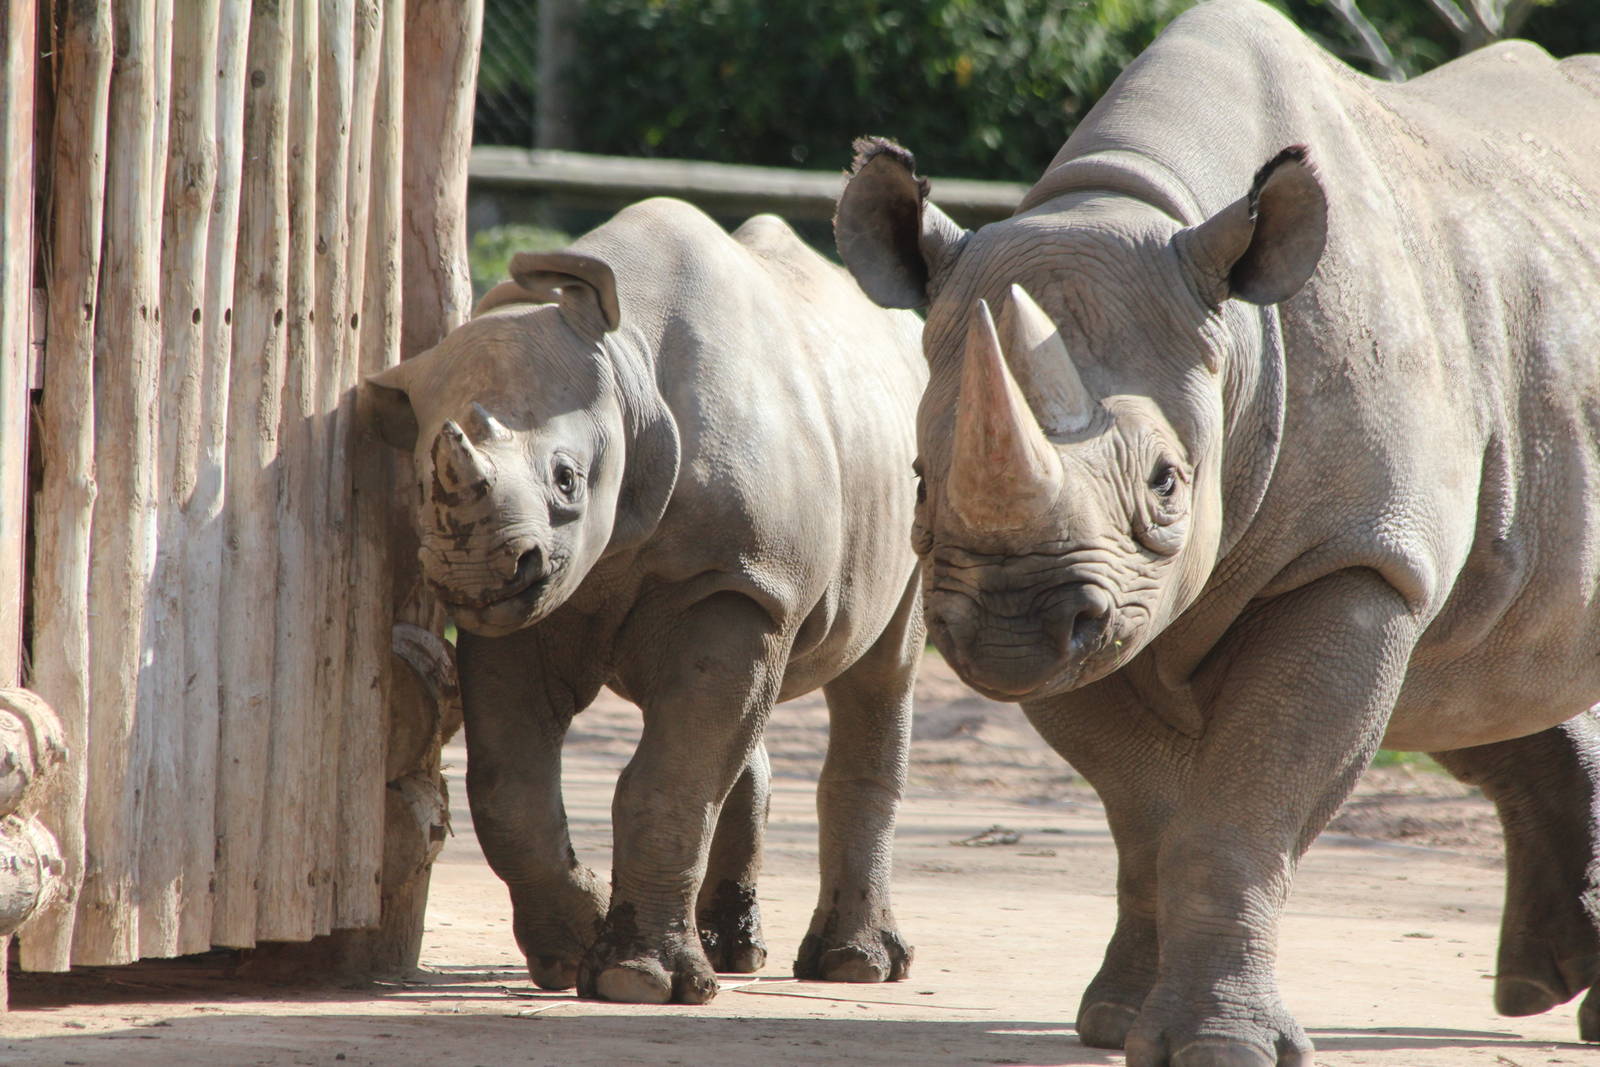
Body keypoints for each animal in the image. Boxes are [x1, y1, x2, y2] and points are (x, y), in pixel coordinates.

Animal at [364, 198, 926, 1004]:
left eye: (567, 478)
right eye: (416, 485)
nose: (474, 570)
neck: (624, 366)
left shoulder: (739, 578)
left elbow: (672, 778)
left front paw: (636, 979)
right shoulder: (534, 607)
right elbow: (509, 785)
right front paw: (570, 951)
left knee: (882, 670)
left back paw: (856, 965)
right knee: (754, 712)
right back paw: (733, 952)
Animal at [834, 1, 1600, 1063]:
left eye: (1166, 484)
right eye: (916, 479)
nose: (1010, 626)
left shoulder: (1355, 556)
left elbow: (1247, 800)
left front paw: (1221, 1046)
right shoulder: (1105, 599)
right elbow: (1149, 809)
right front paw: (1118, 1020)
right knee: (1481, 667)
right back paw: (1538, 985)